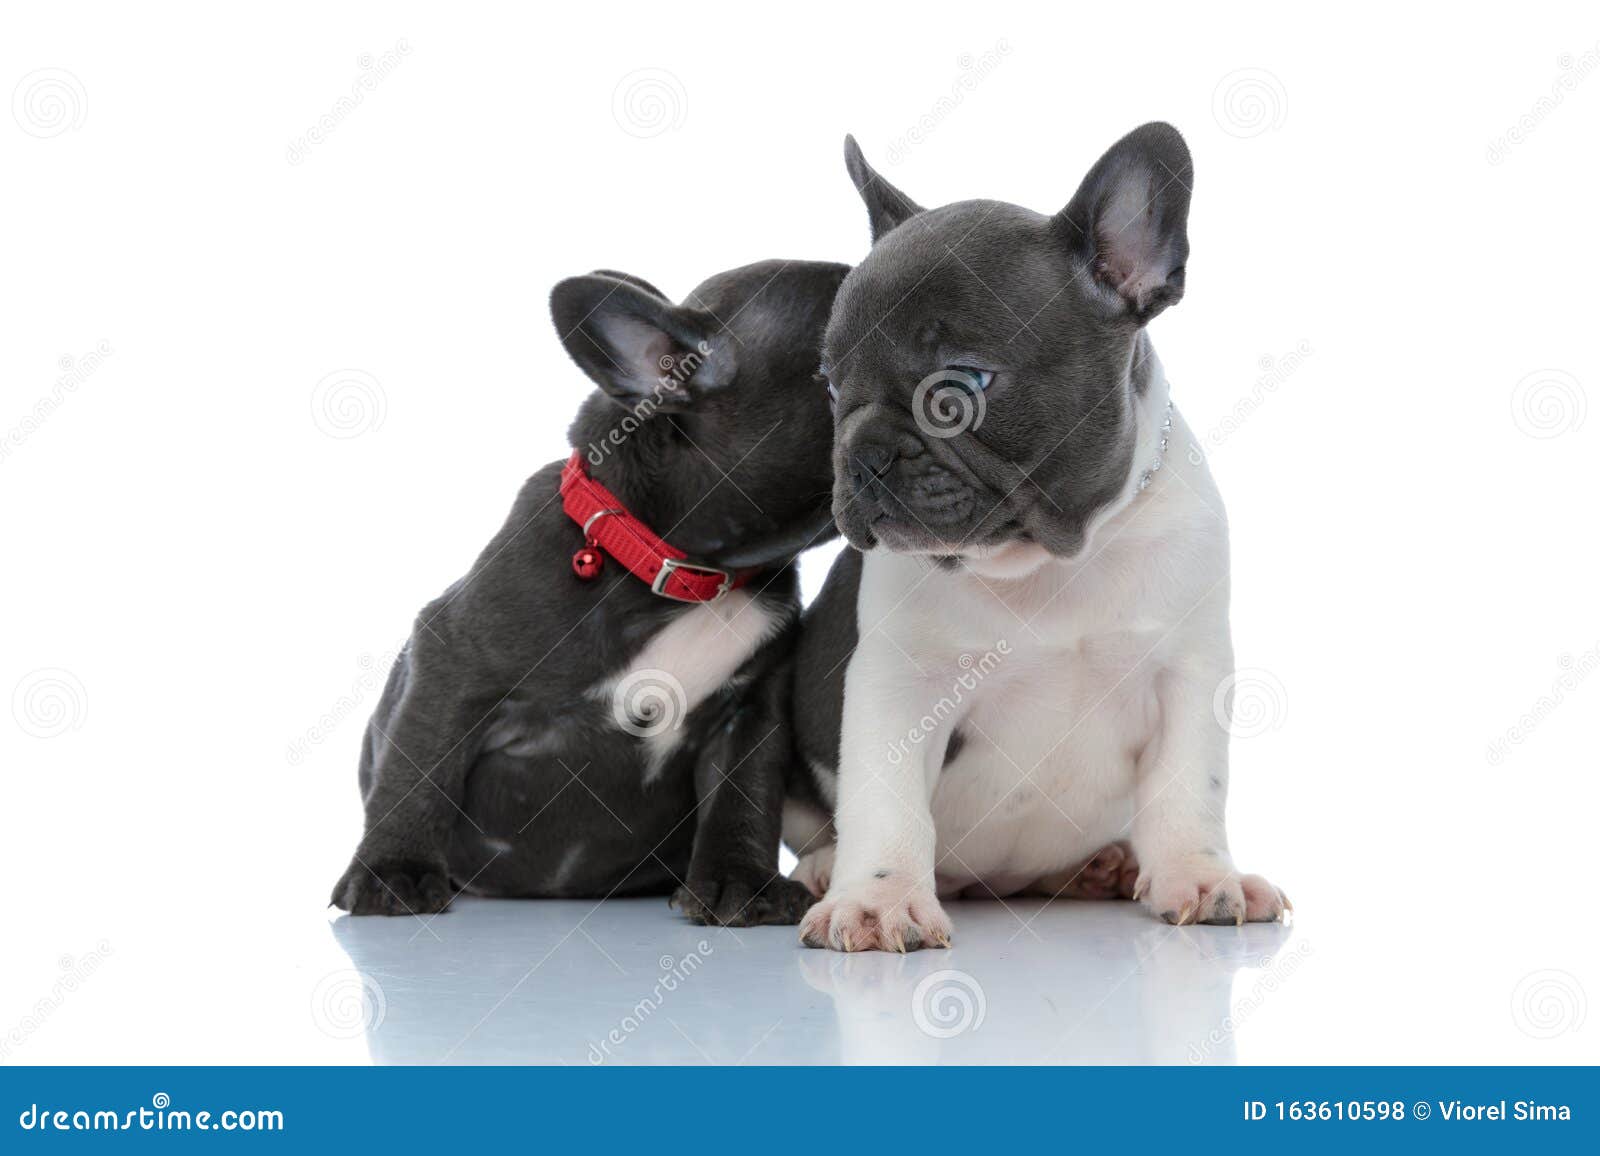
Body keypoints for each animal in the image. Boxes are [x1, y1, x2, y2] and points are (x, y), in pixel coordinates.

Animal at [334, 256, 851, 922]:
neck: (678, 572)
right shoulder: (451, 663)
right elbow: (418, 767)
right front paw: (392, 870)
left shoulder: (751, 711)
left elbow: (743, 794)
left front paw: (741, 882)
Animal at [793, 121, 1292, 947]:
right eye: (831, 386)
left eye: (957, 389)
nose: (861, 455)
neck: (1050, 562)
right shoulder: (899, 684)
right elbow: (886, 797)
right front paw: (878, 898)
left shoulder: (1189, 673)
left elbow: (1190, 784)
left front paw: (1199, 873)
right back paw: (826, 868)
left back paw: (1103, 866)